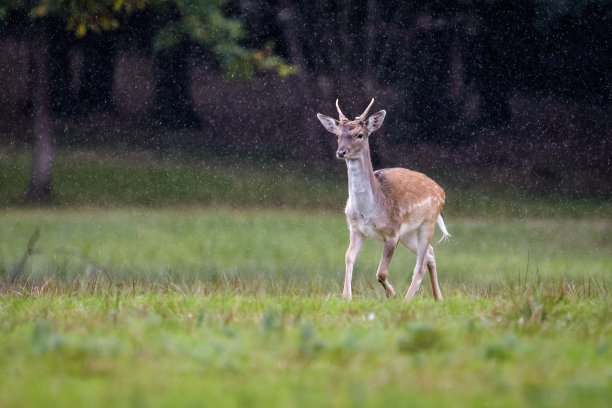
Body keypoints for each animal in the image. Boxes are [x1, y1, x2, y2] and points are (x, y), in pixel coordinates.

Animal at [316, 98, 450, 300]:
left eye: (360, 135)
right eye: (338, 135)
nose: (341, 152)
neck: (369, 209)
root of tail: (441, 191)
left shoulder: (392, 232)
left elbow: (381, 272)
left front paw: (392, 293)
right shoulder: (355, 229)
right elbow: (348, 257)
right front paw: (347, 296)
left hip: (428, 223)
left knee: (420, 266)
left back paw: (407, 299)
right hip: (408, 233)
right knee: (431, 254)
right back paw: (438, 298)